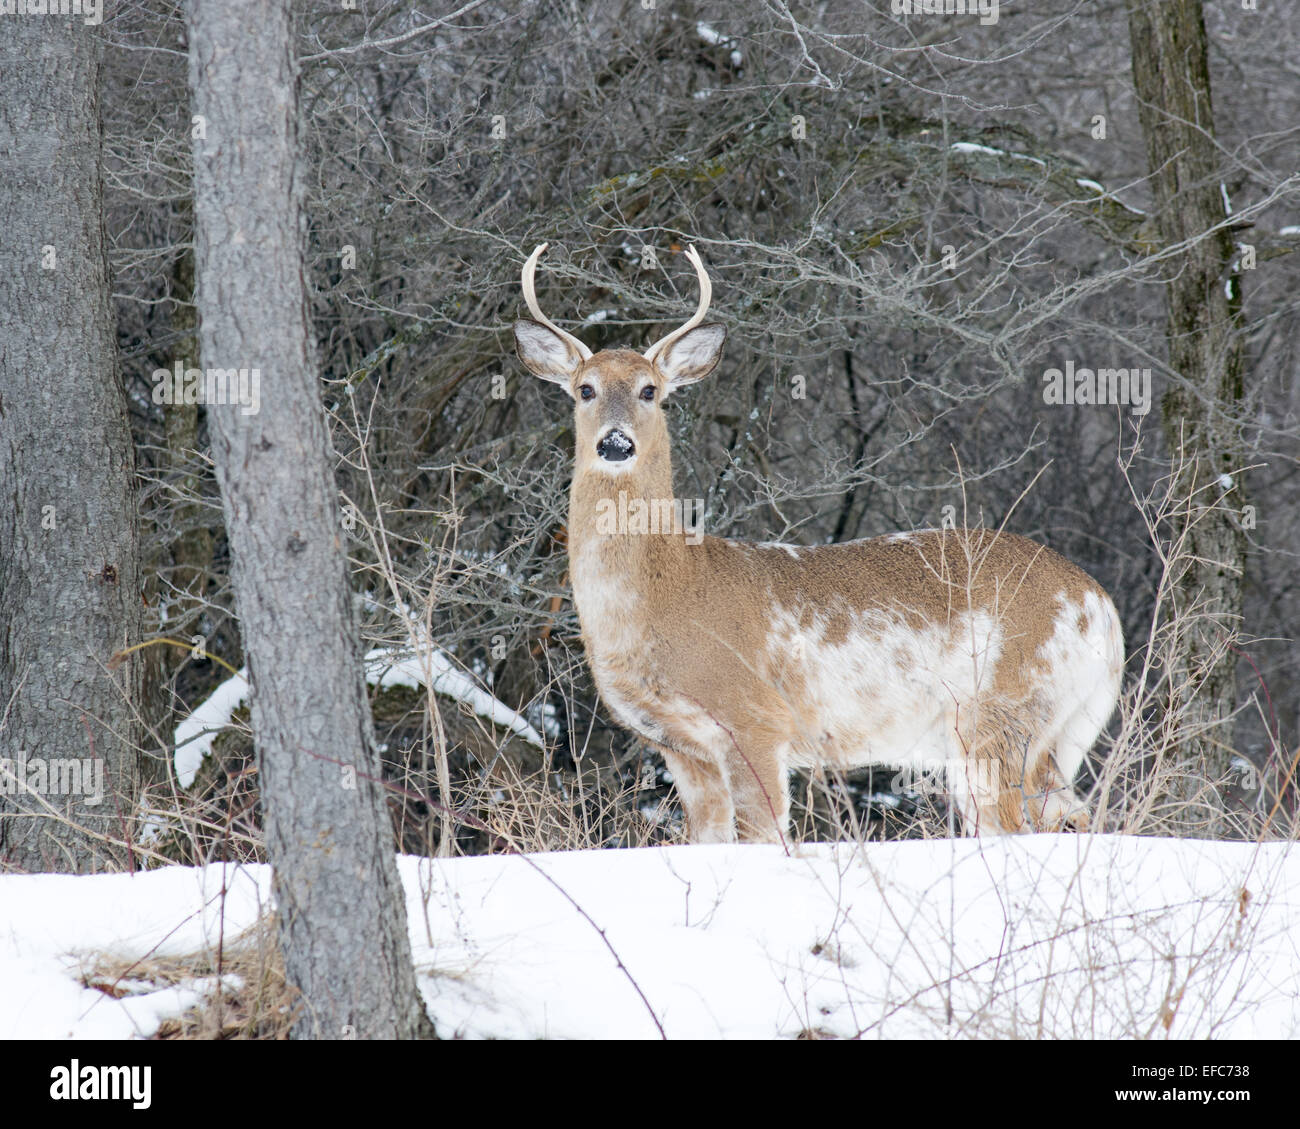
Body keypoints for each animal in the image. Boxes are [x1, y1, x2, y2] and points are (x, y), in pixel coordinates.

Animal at [513, 243, 1124, 843]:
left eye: (650, 391)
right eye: (585, 389)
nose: (616, 443)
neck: (665, 594)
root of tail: (1101, 607)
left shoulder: (756, 718)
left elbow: (766, 838)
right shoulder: (681, 747)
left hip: (1001, 713)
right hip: (1041, 734)